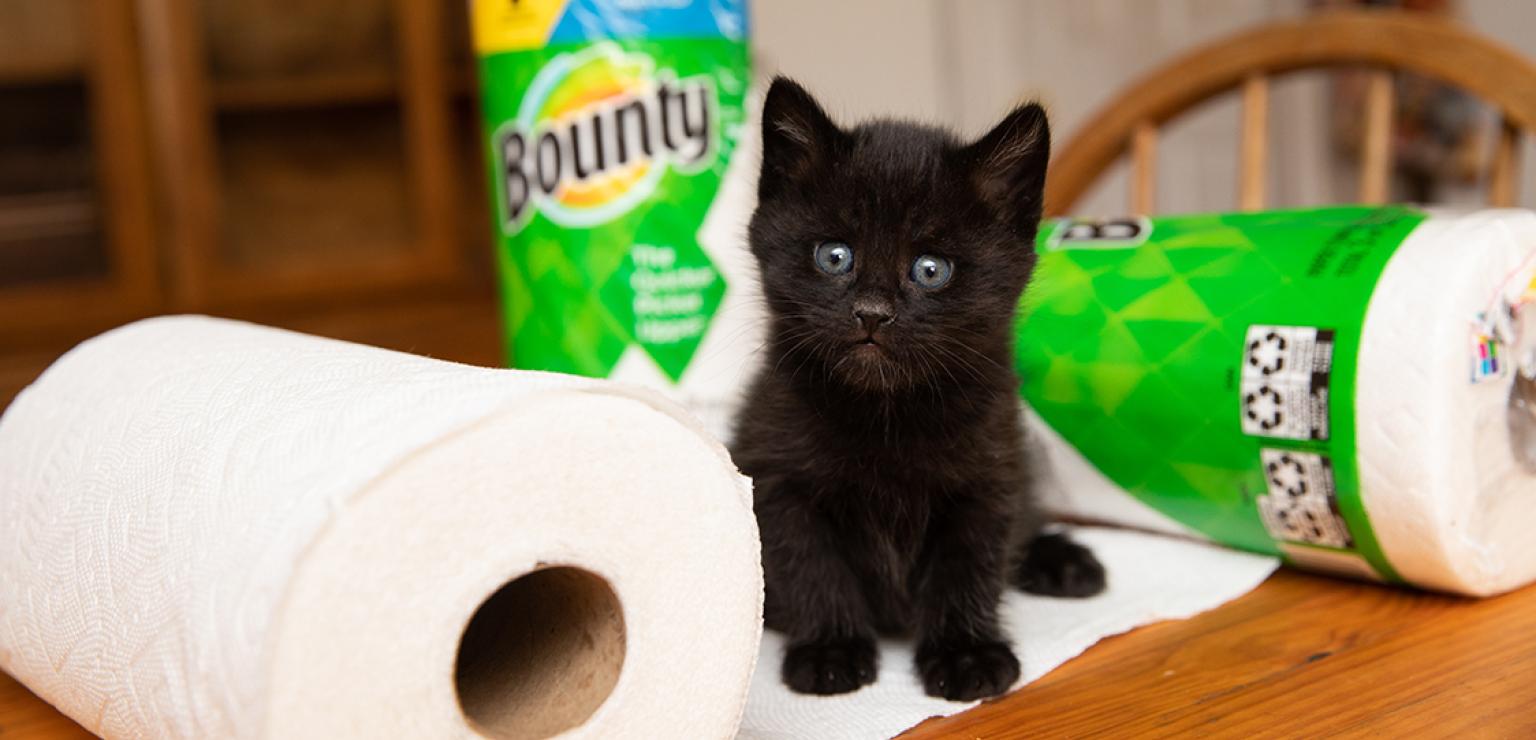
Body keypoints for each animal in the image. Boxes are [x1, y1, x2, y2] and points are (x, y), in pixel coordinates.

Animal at [731, 77, 1105, 703]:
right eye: (834, 256)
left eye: (931, 269)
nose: (871, 312)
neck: (888, 412)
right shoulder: (776, 476)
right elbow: (810, 563)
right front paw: (831, 649)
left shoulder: (989, 473)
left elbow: (970, 564)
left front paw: (965, 654)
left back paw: (1064, 561)